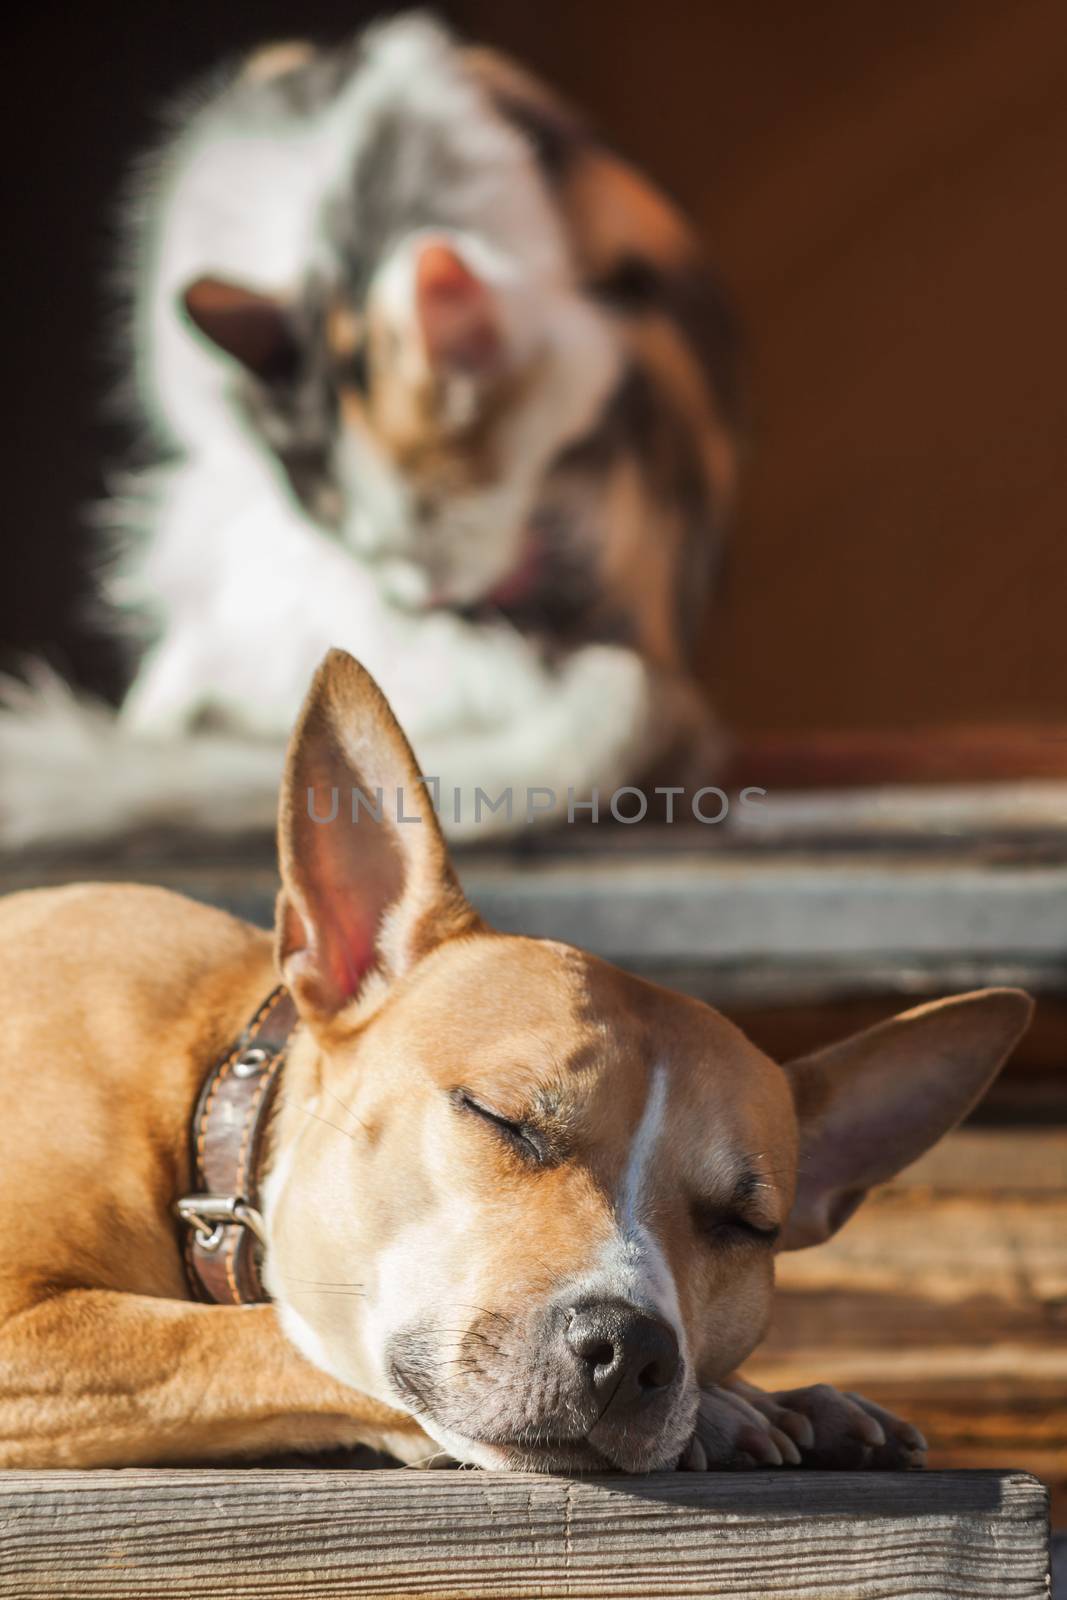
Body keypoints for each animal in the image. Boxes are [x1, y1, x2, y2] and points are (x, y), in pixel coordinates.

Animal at [0, 649, 1036, 1472]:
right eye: (498, 1118)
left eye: (745, 1226)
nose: (632, 1348)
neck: (212, 1091)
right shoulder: (28, 1326)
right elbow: (276, 1342)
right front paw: (734, 1409)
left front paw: (777, 1398)